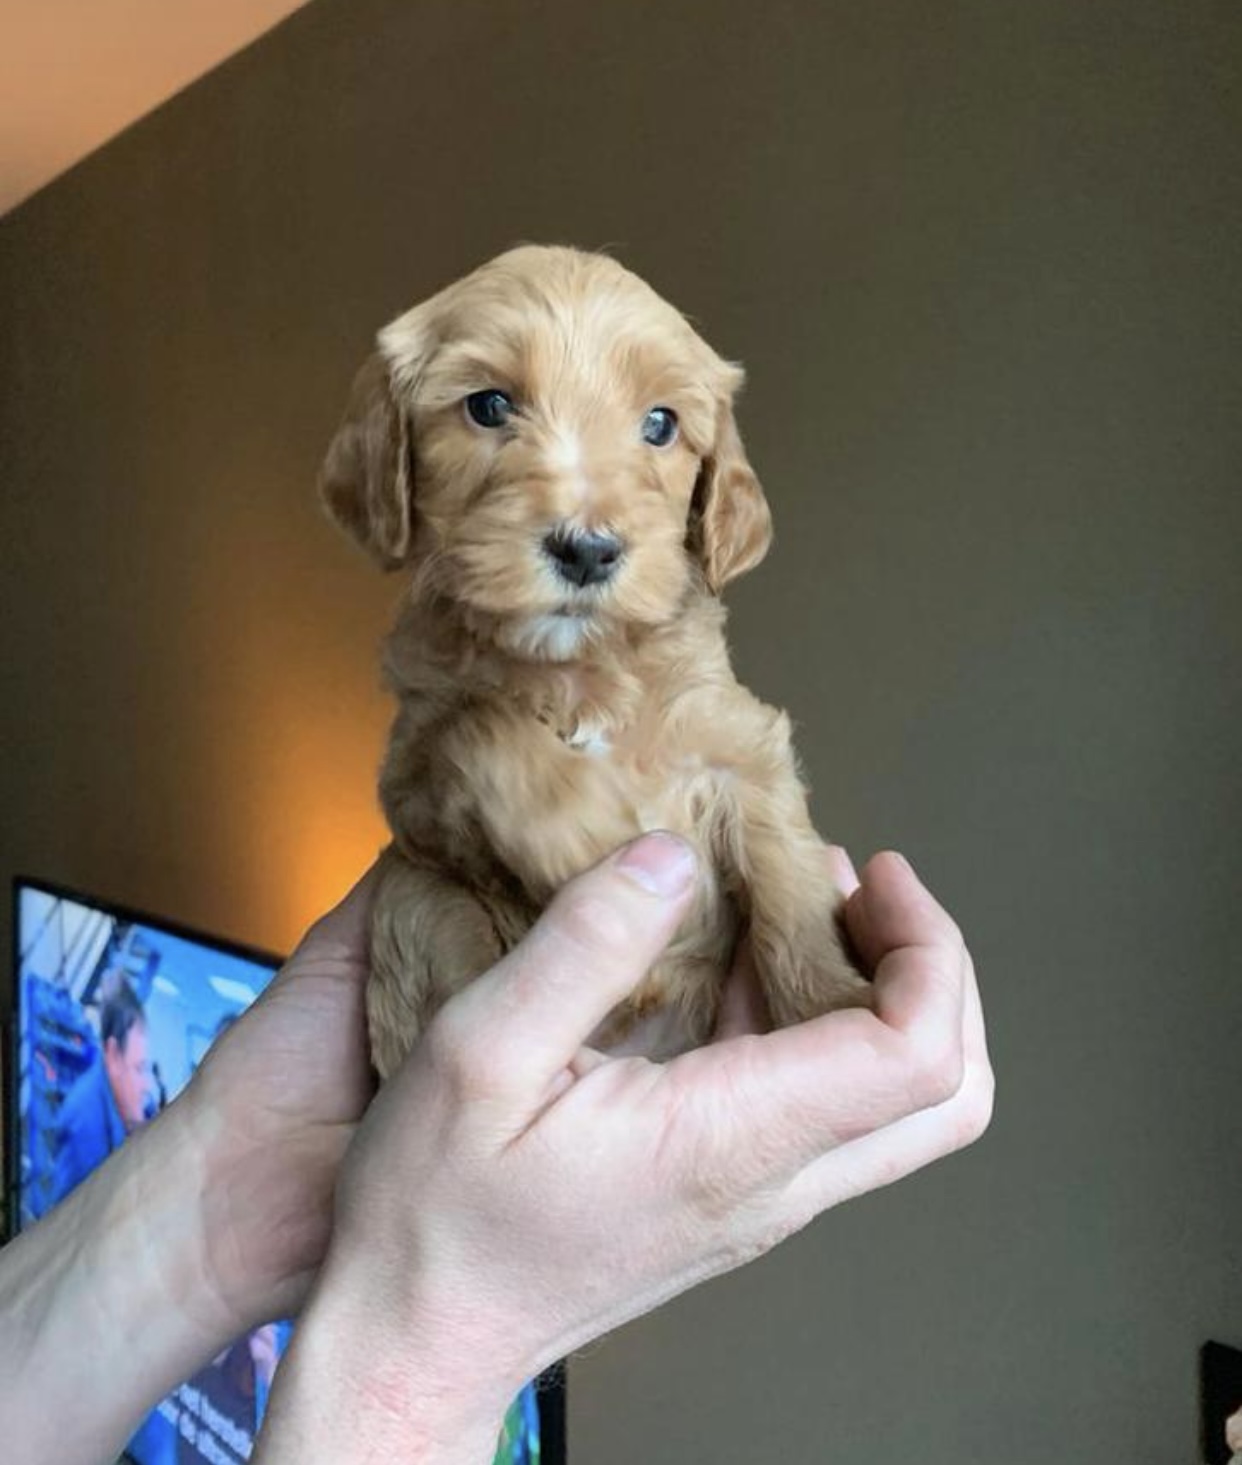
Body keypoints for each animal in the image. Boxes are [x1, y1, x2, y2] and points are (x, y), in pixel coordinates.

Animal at [320, 246, 867, 1078]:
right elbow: (482, 728)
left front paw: (835, 1000)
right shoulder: (416, 776)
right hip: (418, 897)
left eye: (660, 424)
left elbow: (787, 872)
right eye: (489, 406)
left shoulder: (735, 738)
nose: (587, 550)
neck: (580, 664)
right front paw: (591, 835)